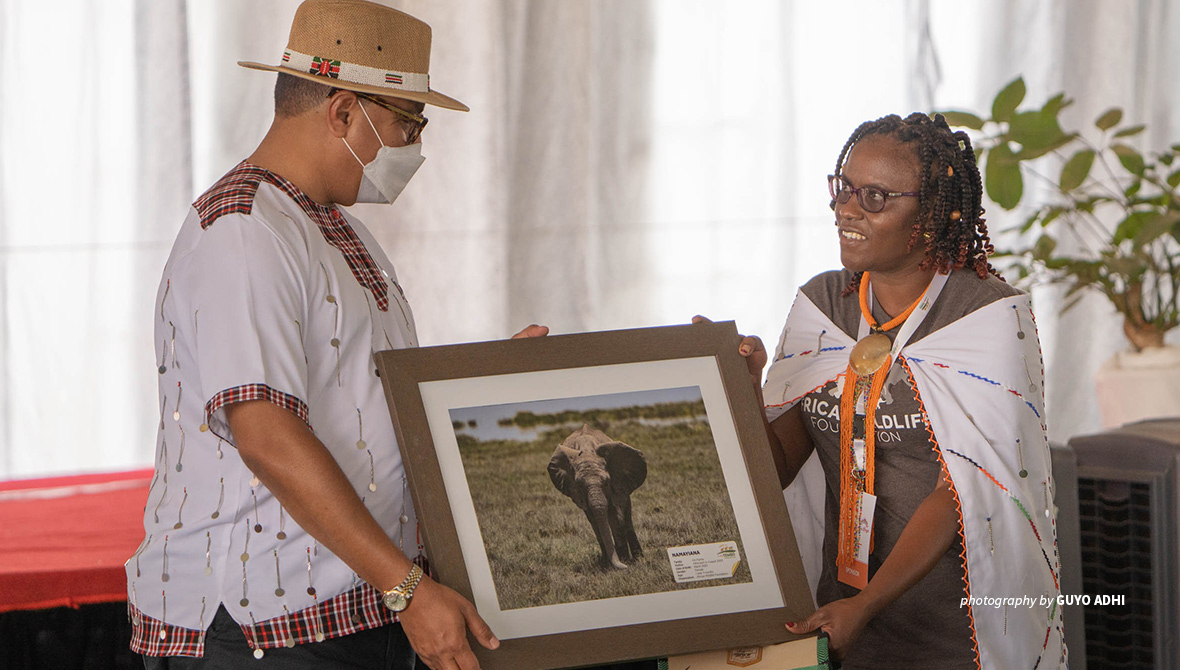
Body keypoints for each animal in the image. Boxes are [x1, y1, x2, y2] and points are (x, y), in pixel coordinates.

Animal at [547, 427, 651, 568]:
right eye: (580, 485)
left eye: (606, 482)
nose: (625, 566)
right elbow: (593, 518)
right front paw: (608, 564)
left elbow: (614, 515)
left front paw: (625, 561)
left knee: (625, 514)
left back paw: (638, 558)